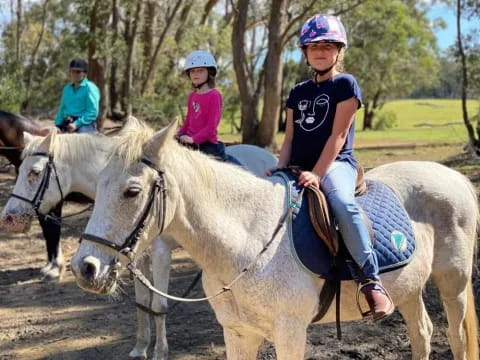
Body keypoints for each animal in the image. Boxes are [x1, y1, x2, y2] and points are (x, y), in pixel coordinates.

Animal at [0, 124, 276, 360]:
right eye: (19, 170)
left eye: (34, 172)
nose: (9, 218)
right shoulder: (135, 255)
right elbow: (142, 302)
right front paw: (140, 347)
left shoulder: (161, 253)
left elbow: (158, 303)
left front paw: (160, 351)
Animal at [69, 122, 478, 360]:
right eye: (98, 186)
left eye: (132, 191)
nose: (84, 267)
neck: (248, 242)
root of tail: (455, 177)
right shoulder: (238, 334)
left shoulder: (289, 332)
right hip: (408, 290)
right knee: (422, 334)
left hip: (453, 284)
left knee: (455, 337)